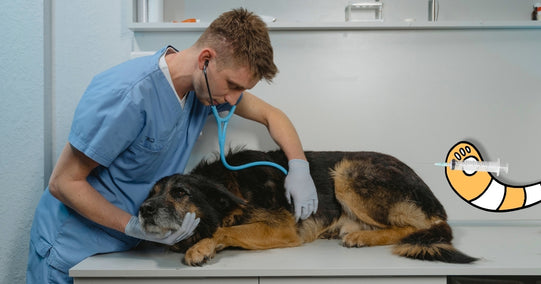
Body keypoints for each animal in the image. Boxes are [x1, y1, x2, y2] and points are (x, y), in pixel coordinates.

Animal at [138, 150, 476, 266]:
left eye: (180, 192)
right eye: (151, 193)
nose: (143, 210)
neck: (230, 184)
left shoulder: (282, 229)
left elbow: (223, 230)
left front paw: (201, 247)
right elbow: (226, 230)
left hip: (346, 170)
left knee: (415, 228)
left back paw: (362, 237)